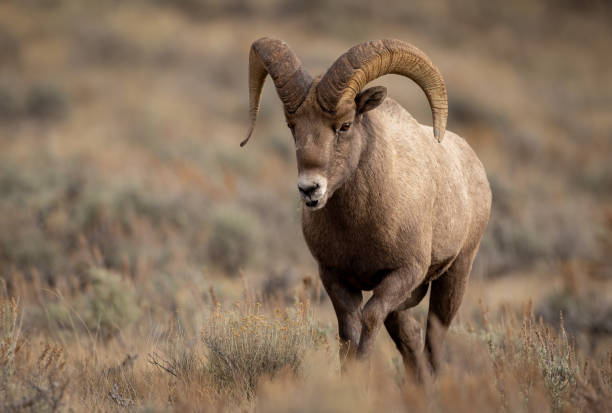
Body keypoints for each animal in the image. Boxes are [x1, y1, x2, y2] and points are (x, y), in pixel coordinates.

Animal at [240, 38, 492, 376]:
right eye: (292, 125)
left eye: (345, 125)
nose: (310, 189)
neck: (359, 228)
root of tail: (473, 163)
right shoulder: (335, 278)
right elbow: (349, 330)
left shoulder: (403, 274)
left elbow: (370, 318)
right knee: (409, 335)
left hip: (455, 275)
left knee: (433, 340)